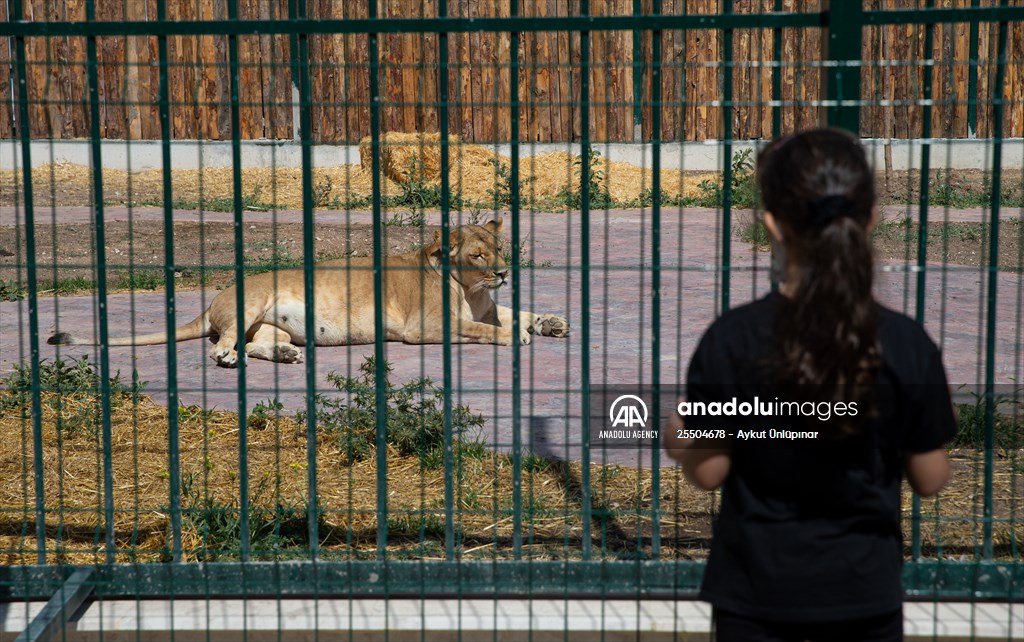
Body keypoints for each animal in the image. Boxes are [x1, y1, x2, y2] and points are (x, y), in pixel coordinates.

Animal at [48, 218, 569, 368]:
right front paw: (518, 337)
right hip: (250, 303)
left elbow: (515, 310)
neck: (469, 289)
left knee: (257, 345)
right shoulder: (424, 328)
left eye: (499, 248)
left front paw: (550, 321)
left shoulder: (489, 305)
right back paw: (226, 357)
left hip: (273, 326)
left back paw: (283, 356)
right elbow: (483, 331)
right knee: (224, 343)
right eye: (478, 255)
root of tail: (215, 297)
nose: (503, 272)